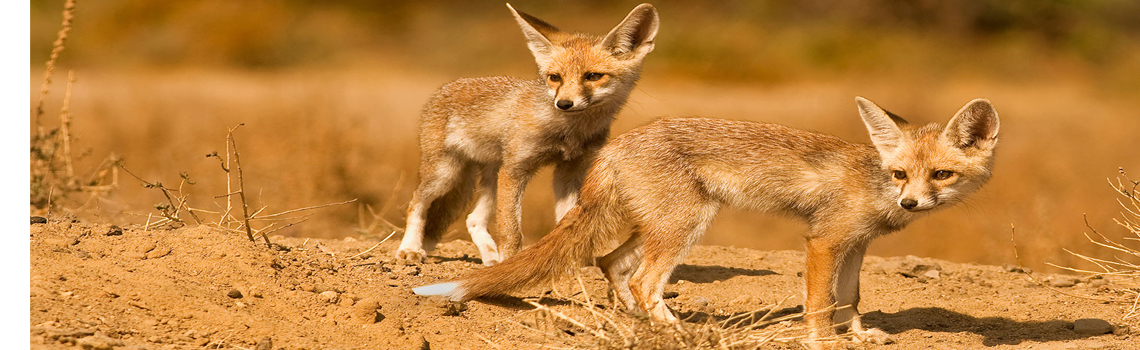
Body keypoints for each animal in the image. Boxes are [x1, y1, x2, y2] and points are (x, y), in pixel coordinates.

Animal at [396, 3, 661, 265]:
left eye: (593, 76)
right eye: (555, 78)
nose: (564, 104)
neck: (568, 132)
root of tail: (445, 87)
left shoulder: (570, 171)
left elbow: (568, 225)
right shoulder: (516, 170)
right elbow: (511, 232)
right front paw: (510, 264)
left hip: (491, 178)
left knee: (473, 219)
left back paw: (490, 258)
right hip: (446, 175)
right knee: (416, 202)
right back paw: (410, 249)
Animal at [417, 98, 998, 346]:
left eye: (941, 174)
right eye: (901, 174)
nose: (911, 204)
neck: (876, 183)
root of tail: (616, 145)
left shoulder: (855, 245)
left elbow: (850, 298)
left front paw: (858, 334)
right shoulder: (823, 242)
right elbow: (820, 303)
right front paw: (823, 341)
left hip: (658, 227)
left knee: (612, 265)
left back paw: (639, 323)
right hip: (686, 225)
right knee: (644, 280)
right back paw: (675, 329)